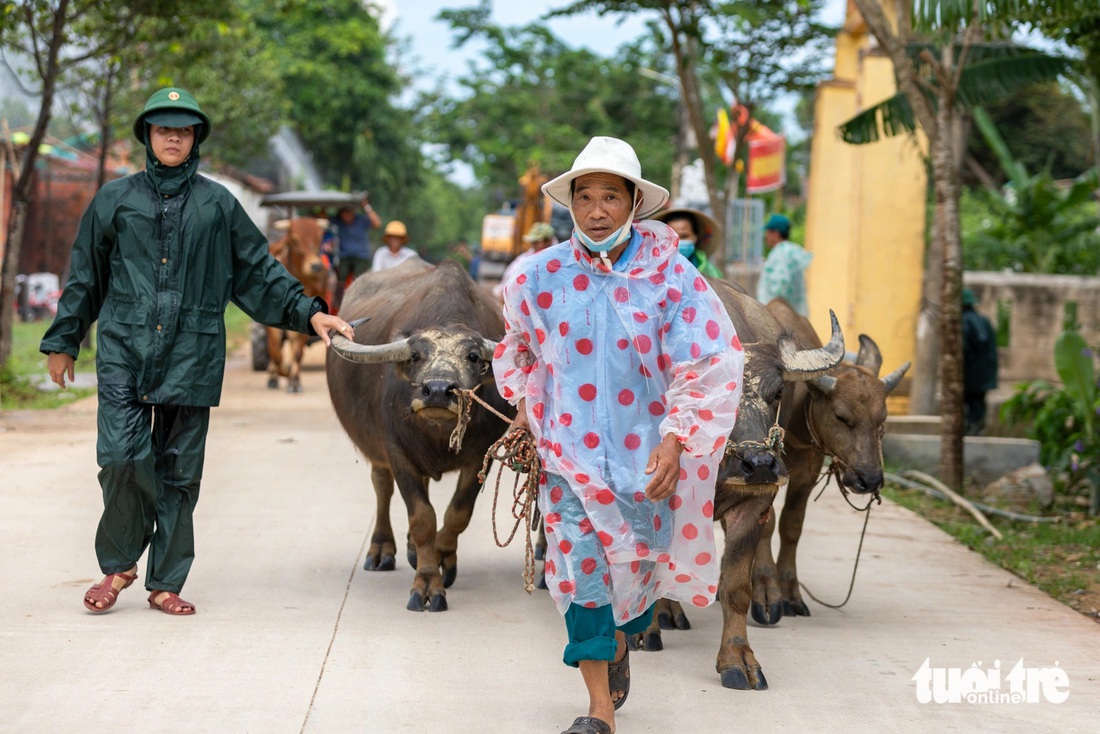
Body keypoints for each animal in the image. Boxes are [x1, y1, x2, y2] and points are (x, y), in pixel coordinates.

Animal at [267, 216, 330, 393]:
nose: (316, 266)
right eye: (294, 239)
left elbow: (296, 352)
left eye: (319, 236)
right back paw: (273, 376)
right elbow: (276, 353)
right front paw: (283, 372)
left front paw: (294, 380)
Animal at [325, 260, 514, 611]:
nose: (438, 390)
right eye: (415, 356)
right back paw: (381, 551)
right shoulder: (398, 453)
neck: (438, 433)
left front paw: (442, 559)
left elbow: (457, 514)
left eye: (472, 357)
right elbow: (422, 517)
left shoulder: (480, 456)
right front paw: (427, 585)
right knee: (381, 486)